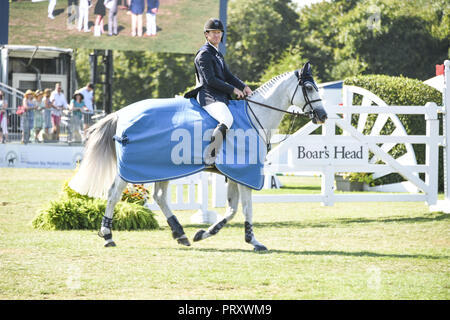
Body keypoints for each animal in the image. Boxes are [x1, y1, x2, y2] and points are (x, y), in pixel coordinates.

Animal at [68, 62, 326, 250]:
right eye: (309, 88)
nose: (322, 116)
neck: (256, 116)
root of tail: (122, 113)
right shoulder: (245, 172)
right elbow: (246, 208)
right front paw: (254, 241)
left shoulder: (234, 174)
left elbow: (232, 210)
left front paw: (204, 233)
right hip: (131, 170)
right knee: (113, 194)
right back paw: (108, 236)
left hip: (161, 167)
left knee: (159, 196)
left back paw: (180, 234)